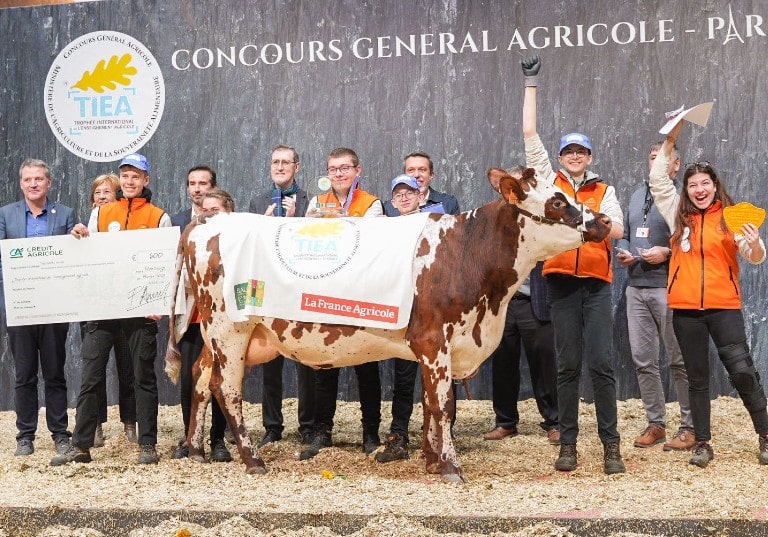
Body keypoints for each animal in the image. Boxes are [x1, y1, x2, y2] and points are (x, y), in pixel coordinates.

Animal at [166, 168, 612, 482]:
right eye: (558, 202)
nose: (605, 222)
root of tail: (207, 222)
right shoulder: (434, 341)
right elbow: (442, 403)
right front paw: (450, 467)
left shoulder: (439, 348)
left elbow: (432, 404)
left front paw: (431, 460)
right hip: (230, 329)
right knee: (226, 387)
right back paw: (252, 459)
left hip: (222, 335)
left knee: (201, 376)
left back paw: (197, 450)